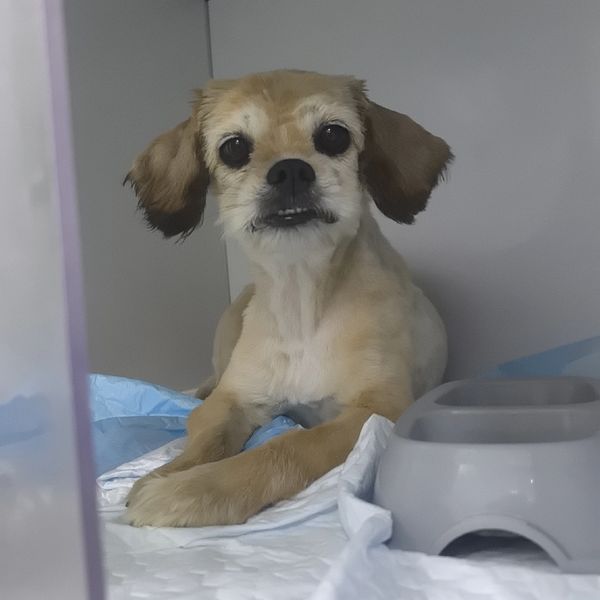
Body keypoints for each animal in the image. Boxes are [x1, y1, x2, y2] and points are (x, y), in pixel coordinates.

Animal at [124, 69, 452, 527]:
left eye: (333, 135)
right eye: (234, 147)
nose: (291, 170)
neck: (302, 307)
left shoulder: (377, 410)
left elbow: (285, 448)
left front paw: (191, 491)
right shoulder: (232, 400)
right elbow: (206, 438)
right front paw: (168, 473)